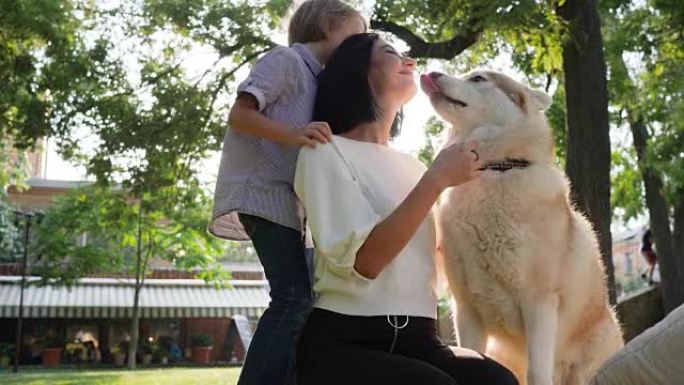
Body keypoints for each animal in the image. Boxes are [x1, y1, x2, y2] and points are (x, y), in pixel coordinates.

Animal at [420, 70, 624, 384]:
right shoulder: (465, 309)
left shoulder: (539, 303)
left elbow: (537, 373)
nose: (432, 72)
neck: (496, 168)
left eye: (478, 78)